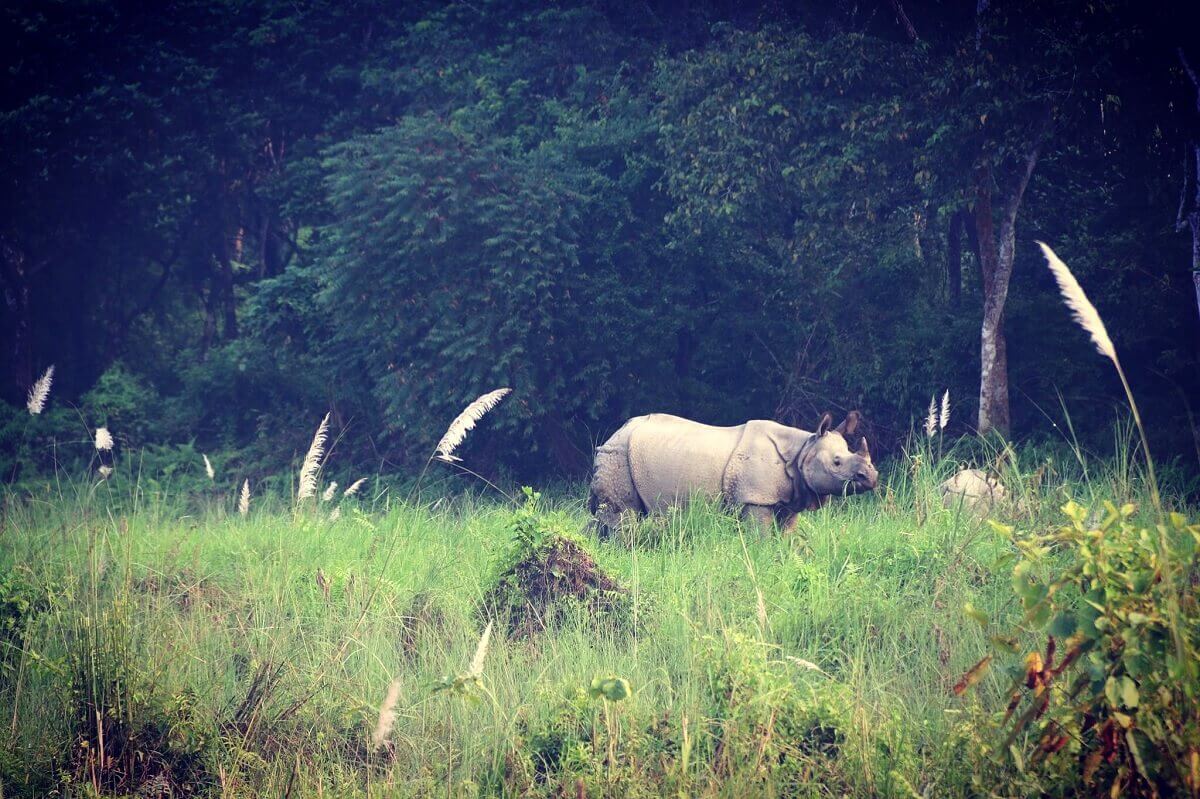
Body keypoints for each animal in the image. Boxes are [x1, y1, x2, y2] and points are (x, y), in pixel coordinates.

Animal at [588, 410, 878, 535]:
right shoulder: (754, 498)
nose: (871, 478)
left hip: (621, 451)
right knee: (623, 516)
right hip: (619, 453)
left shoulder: (790, 499)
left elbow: (787, 535)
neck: (803, 448)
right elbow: (760, 537)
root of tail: (618, 431)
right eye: (837, 463)